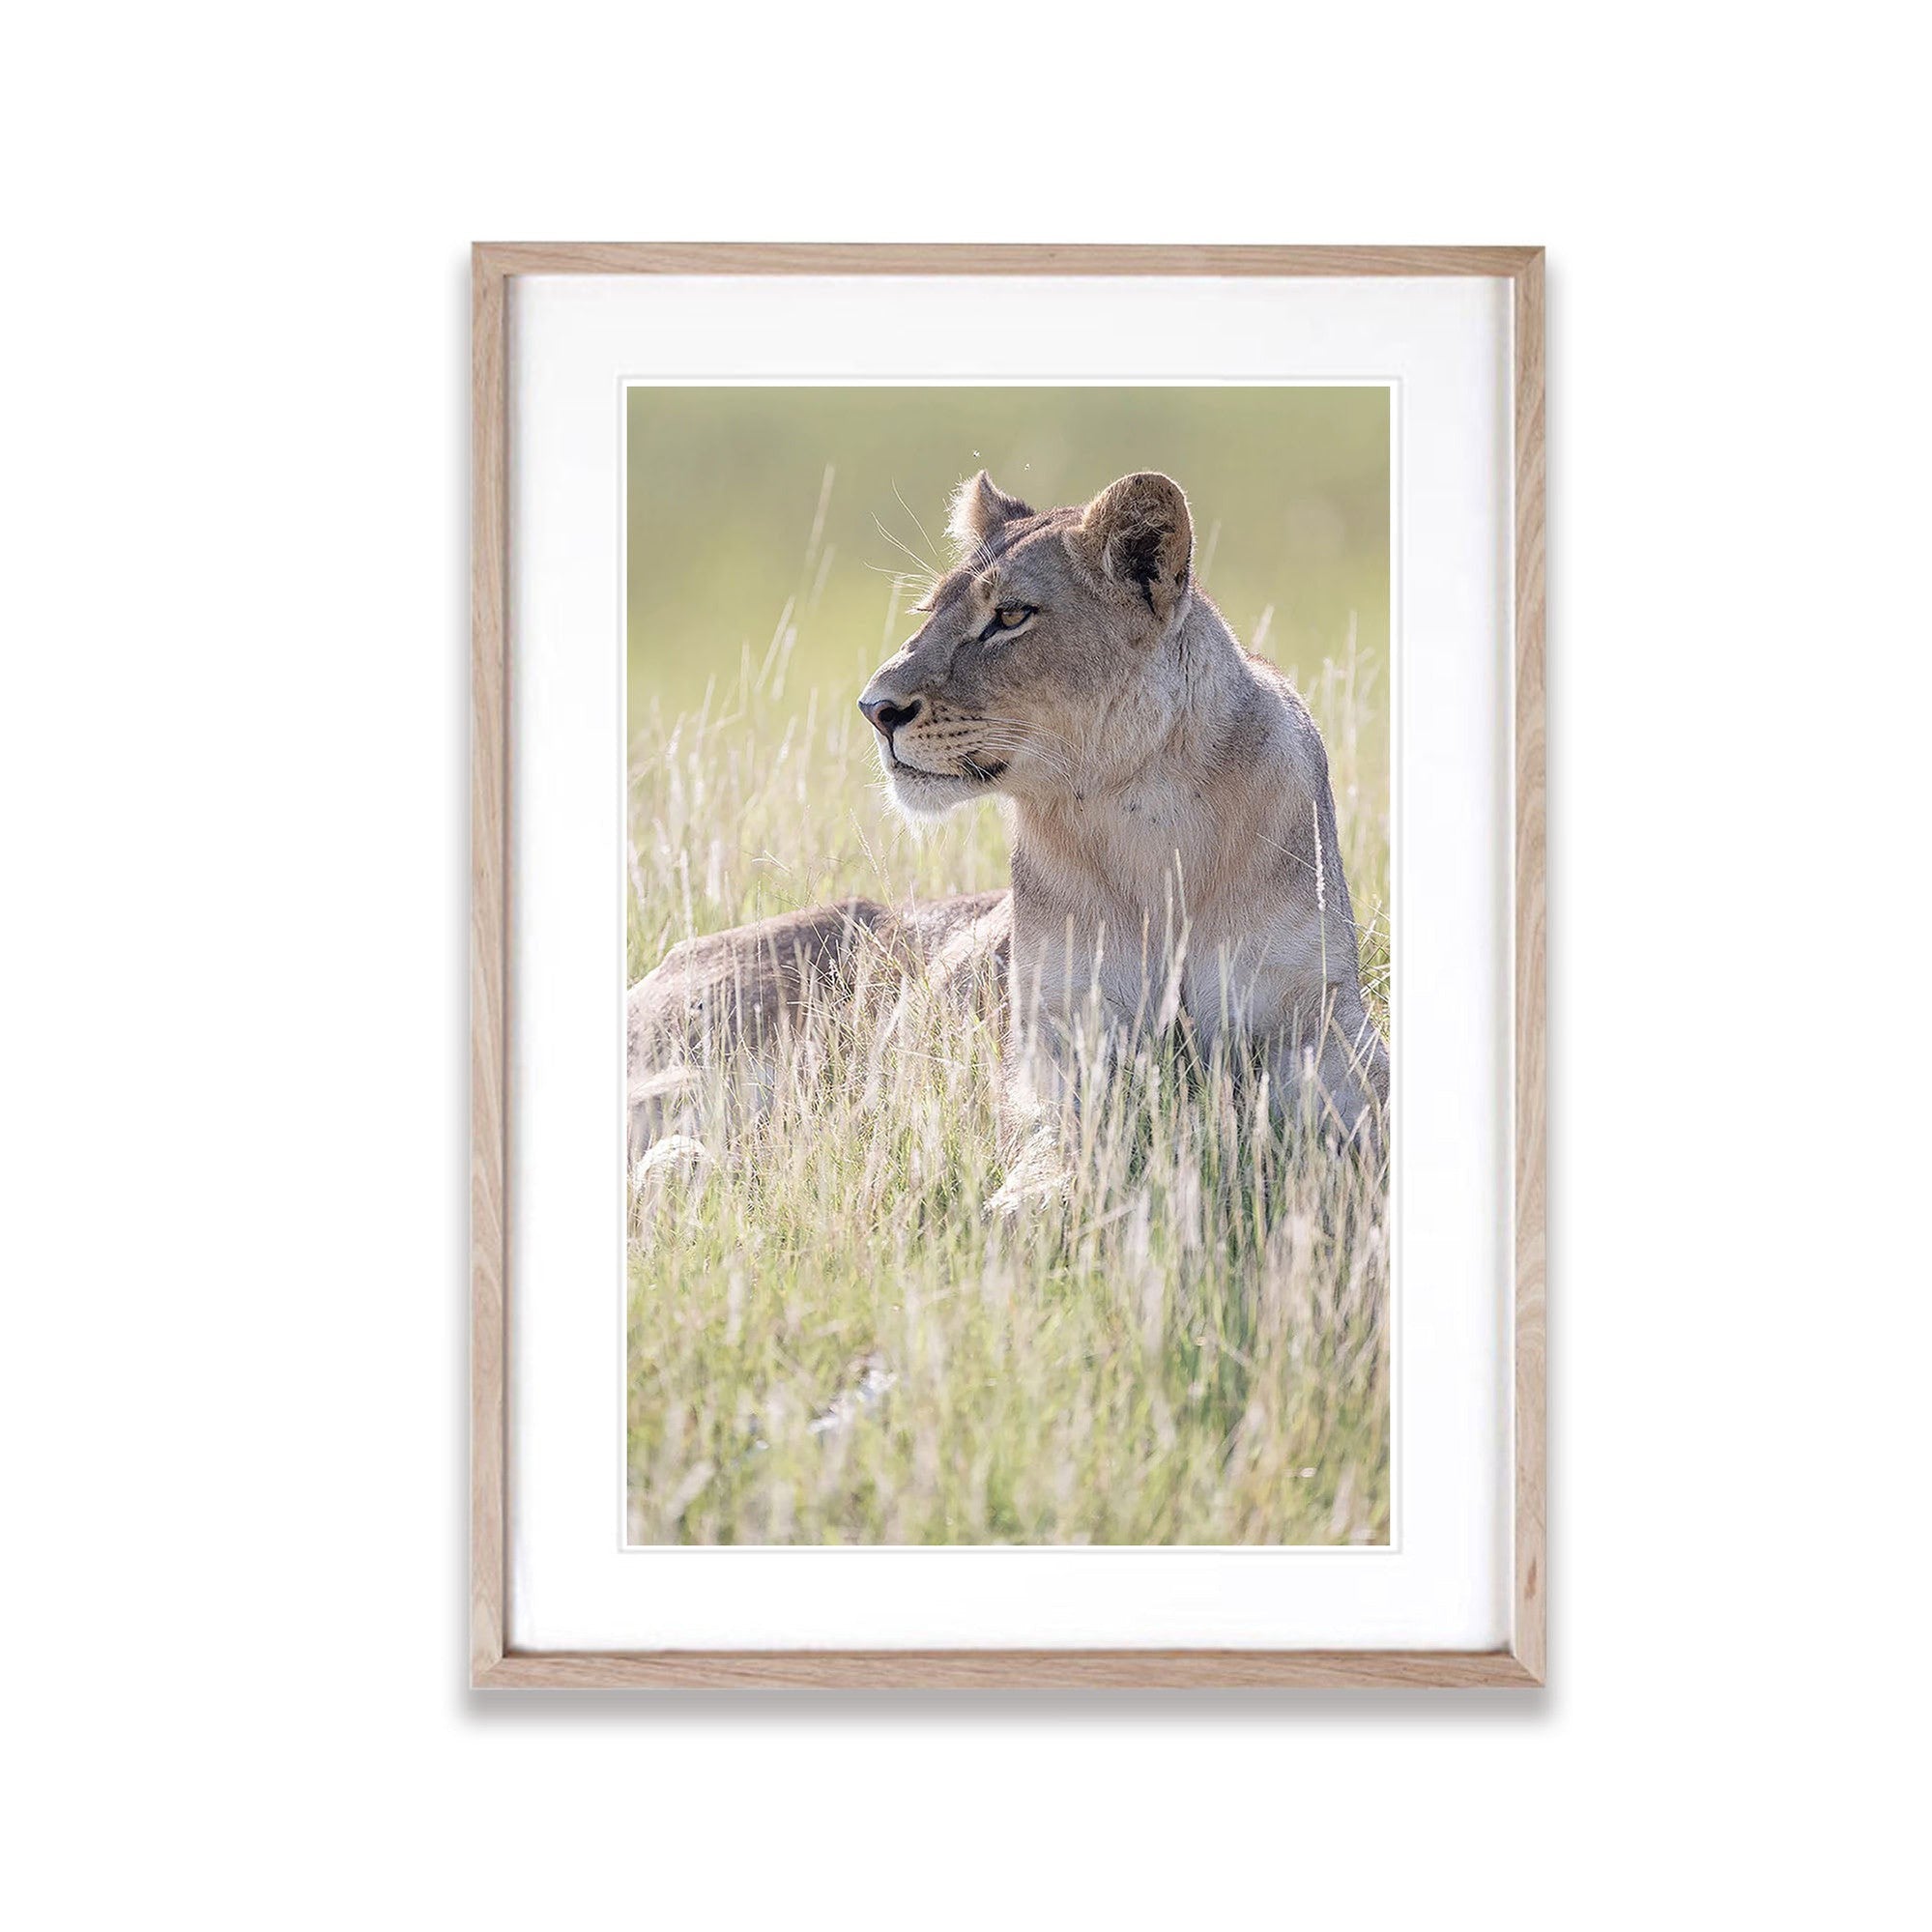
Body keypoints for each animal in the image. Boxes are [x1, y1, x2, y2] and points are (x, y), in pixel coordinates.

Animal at [626, 468, 1387, 1169]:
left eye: (1012, 617)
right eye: (929, 611)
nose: (874, 708)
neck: (1146, 812)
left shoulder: (1317, 1019)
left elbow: (1365, 1108)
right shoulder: (1057, 1035)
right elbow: (1059, 1143)